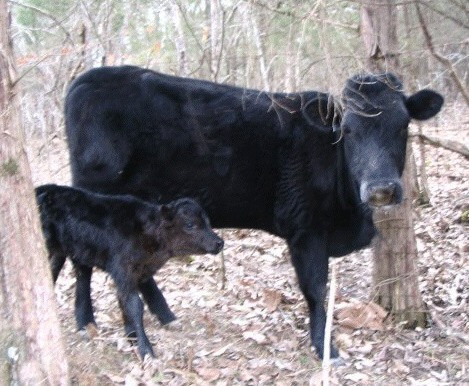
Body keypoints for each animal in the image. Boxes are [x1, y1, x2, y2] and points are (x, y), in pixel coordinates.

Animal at [35, 184, 222, 358]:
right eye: (190, 225)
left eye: (208, 222)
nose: (219, 242)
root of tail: (42, 189)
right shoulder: (123, 270)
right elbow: (134, 305)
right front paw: (145, 349)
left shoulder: (140, 270)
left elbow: (150, 293)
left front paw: (160, 323)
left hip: (73, 251)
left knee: (71, 274)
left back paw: (85, 325)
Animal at [65, 66, 442, 358]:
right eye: (347, 130)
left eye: (403, 125)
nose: (381, 189)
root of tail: (86, 79)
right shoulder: (305, 230)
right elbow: (315, 289)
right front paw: (325, 348)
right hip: (94, 199)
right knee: (82, 260)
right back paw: (85, 320)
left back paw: (164, 315)